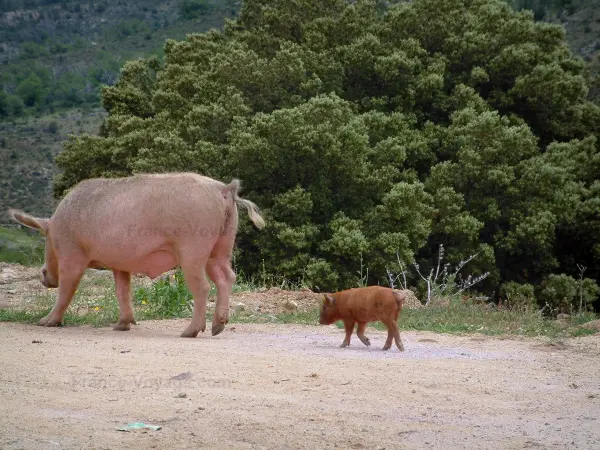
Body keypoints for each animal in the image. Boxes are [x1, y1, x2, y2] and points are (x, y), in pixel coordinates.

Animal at [7, 172, 264, 338]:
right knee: (226, 277)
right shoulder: (120, 264)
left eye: (47, 239)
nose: (43, 274)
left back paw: (189, 332)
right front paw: (121, 326)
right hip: (222, 244)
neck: (57, 226)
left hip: (193, 247)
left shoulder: (72, 255)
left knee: (202, 287)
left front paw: (44, 323)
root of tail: (223, 189)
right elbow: (122, 290)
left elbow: (66, 291)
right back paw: (217, 328)